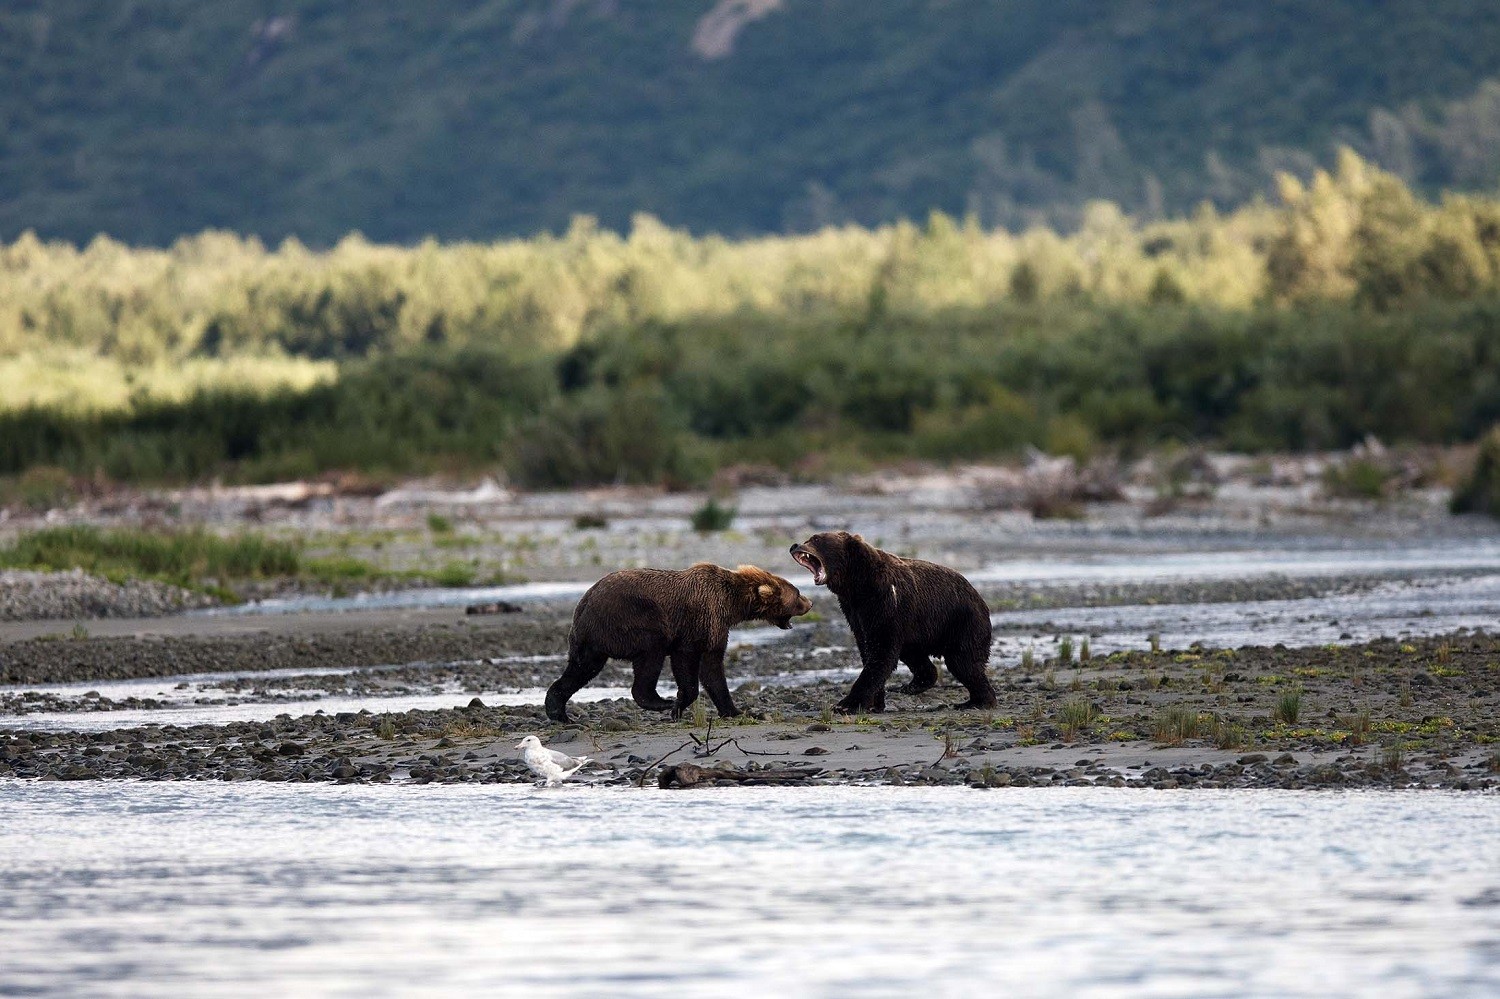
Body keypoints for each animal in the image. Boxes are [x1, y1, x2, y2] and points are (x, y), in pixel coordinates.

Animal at [544, 562, 812, 723]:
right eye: (797, 593)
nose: (809, 603)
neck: (732, 603)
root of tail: (586, 600)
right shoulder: (700, 620)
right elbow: (690, 662)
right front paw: (678, 705)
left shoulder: (713, 627)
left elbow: (712, 670)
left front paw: (734, 710)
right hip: (633, 617)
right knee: (652, 650)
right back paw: (660, 702)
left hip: (589, 639)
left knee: (581, 668)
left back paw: (557, 711)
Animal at [789, 531, 997, 713]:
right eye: (810, 538)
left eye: (816, 538)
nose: (795, 545)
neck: (856, 584)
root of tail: (980, 598)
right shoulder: (854, 611)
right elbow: (868, 649)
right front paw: (873, 703)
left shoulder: (885, 603)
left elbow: (881, 653)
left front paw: (846, 704)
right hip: (918, 631)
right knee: (916, 655)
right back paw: (911, 686)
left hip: (962, 622)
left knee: (963, 662)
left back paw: (977, 701)